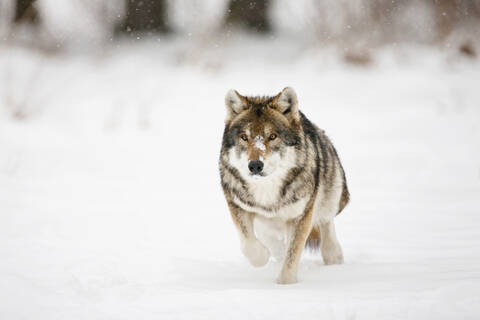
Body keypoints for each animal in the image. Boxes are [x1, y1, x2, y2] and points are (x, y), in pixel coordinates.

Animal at [218, 86, 348, 284]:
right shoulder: (237, 205)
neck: (266, 190)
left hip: (332, 196)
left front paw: (285, 285)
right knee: (271, 238)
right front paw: (263, 256)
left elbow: (292, 255)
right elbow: (249, 244)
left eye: (272, 136)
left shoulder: (301, 215)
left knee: (326, 222)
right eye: (244, 137)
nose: (255, 165)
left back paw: (333, 255)